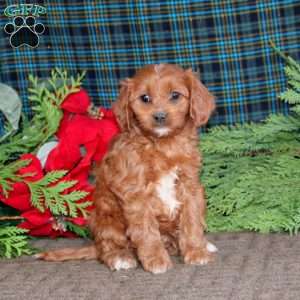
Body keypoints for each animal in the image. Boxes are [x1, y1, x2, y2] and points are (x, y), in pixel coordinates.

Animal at [37, 63, 216, 274]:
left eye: (175, 95)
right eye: (145, 98)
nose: (160, 116)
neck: (163, 145)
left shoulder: (190, 185)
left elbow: (192, 220)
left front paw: (196, 251)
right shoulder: (135, 192)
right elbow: (145, 229)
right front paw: (156, 259)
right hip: (107, 217)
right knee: (108, 245)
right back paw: (120, 257)